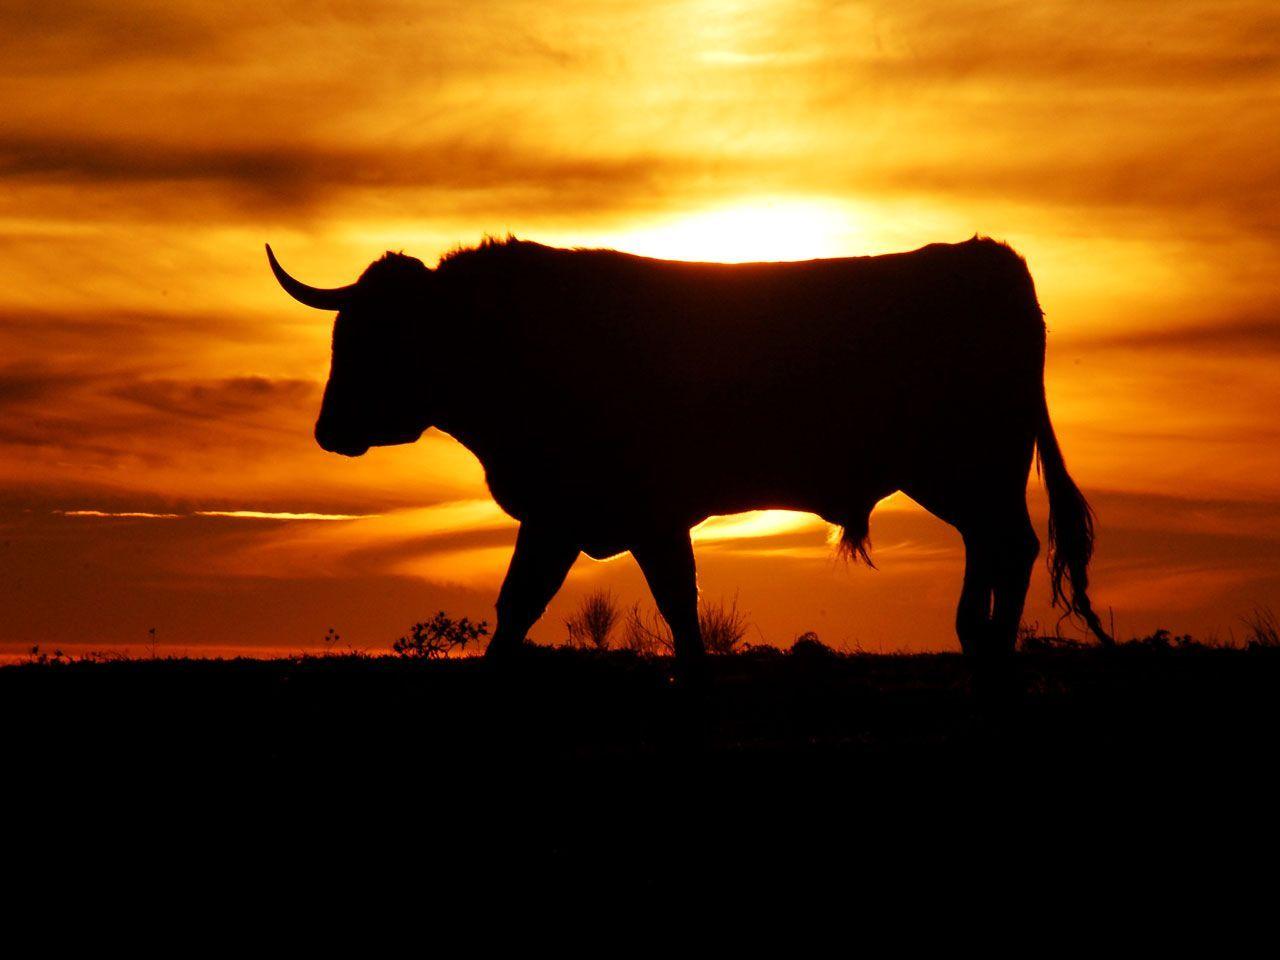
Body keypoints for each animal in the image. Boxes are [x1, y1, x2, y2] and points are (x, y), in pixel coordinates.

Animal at [267, 235, 1110, 677]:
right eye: (344, 333)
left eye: (381, 339)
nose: (329, 428)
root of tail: (991, 258)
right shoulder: (563, 516)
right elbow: (518, 607)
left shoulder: (637, 513)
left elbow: (675, 609)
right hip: (967, 478)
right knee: (994, 552)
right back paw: (978, 648)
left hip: (972, 469)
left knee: (1013, 548)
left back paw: (993, 659)